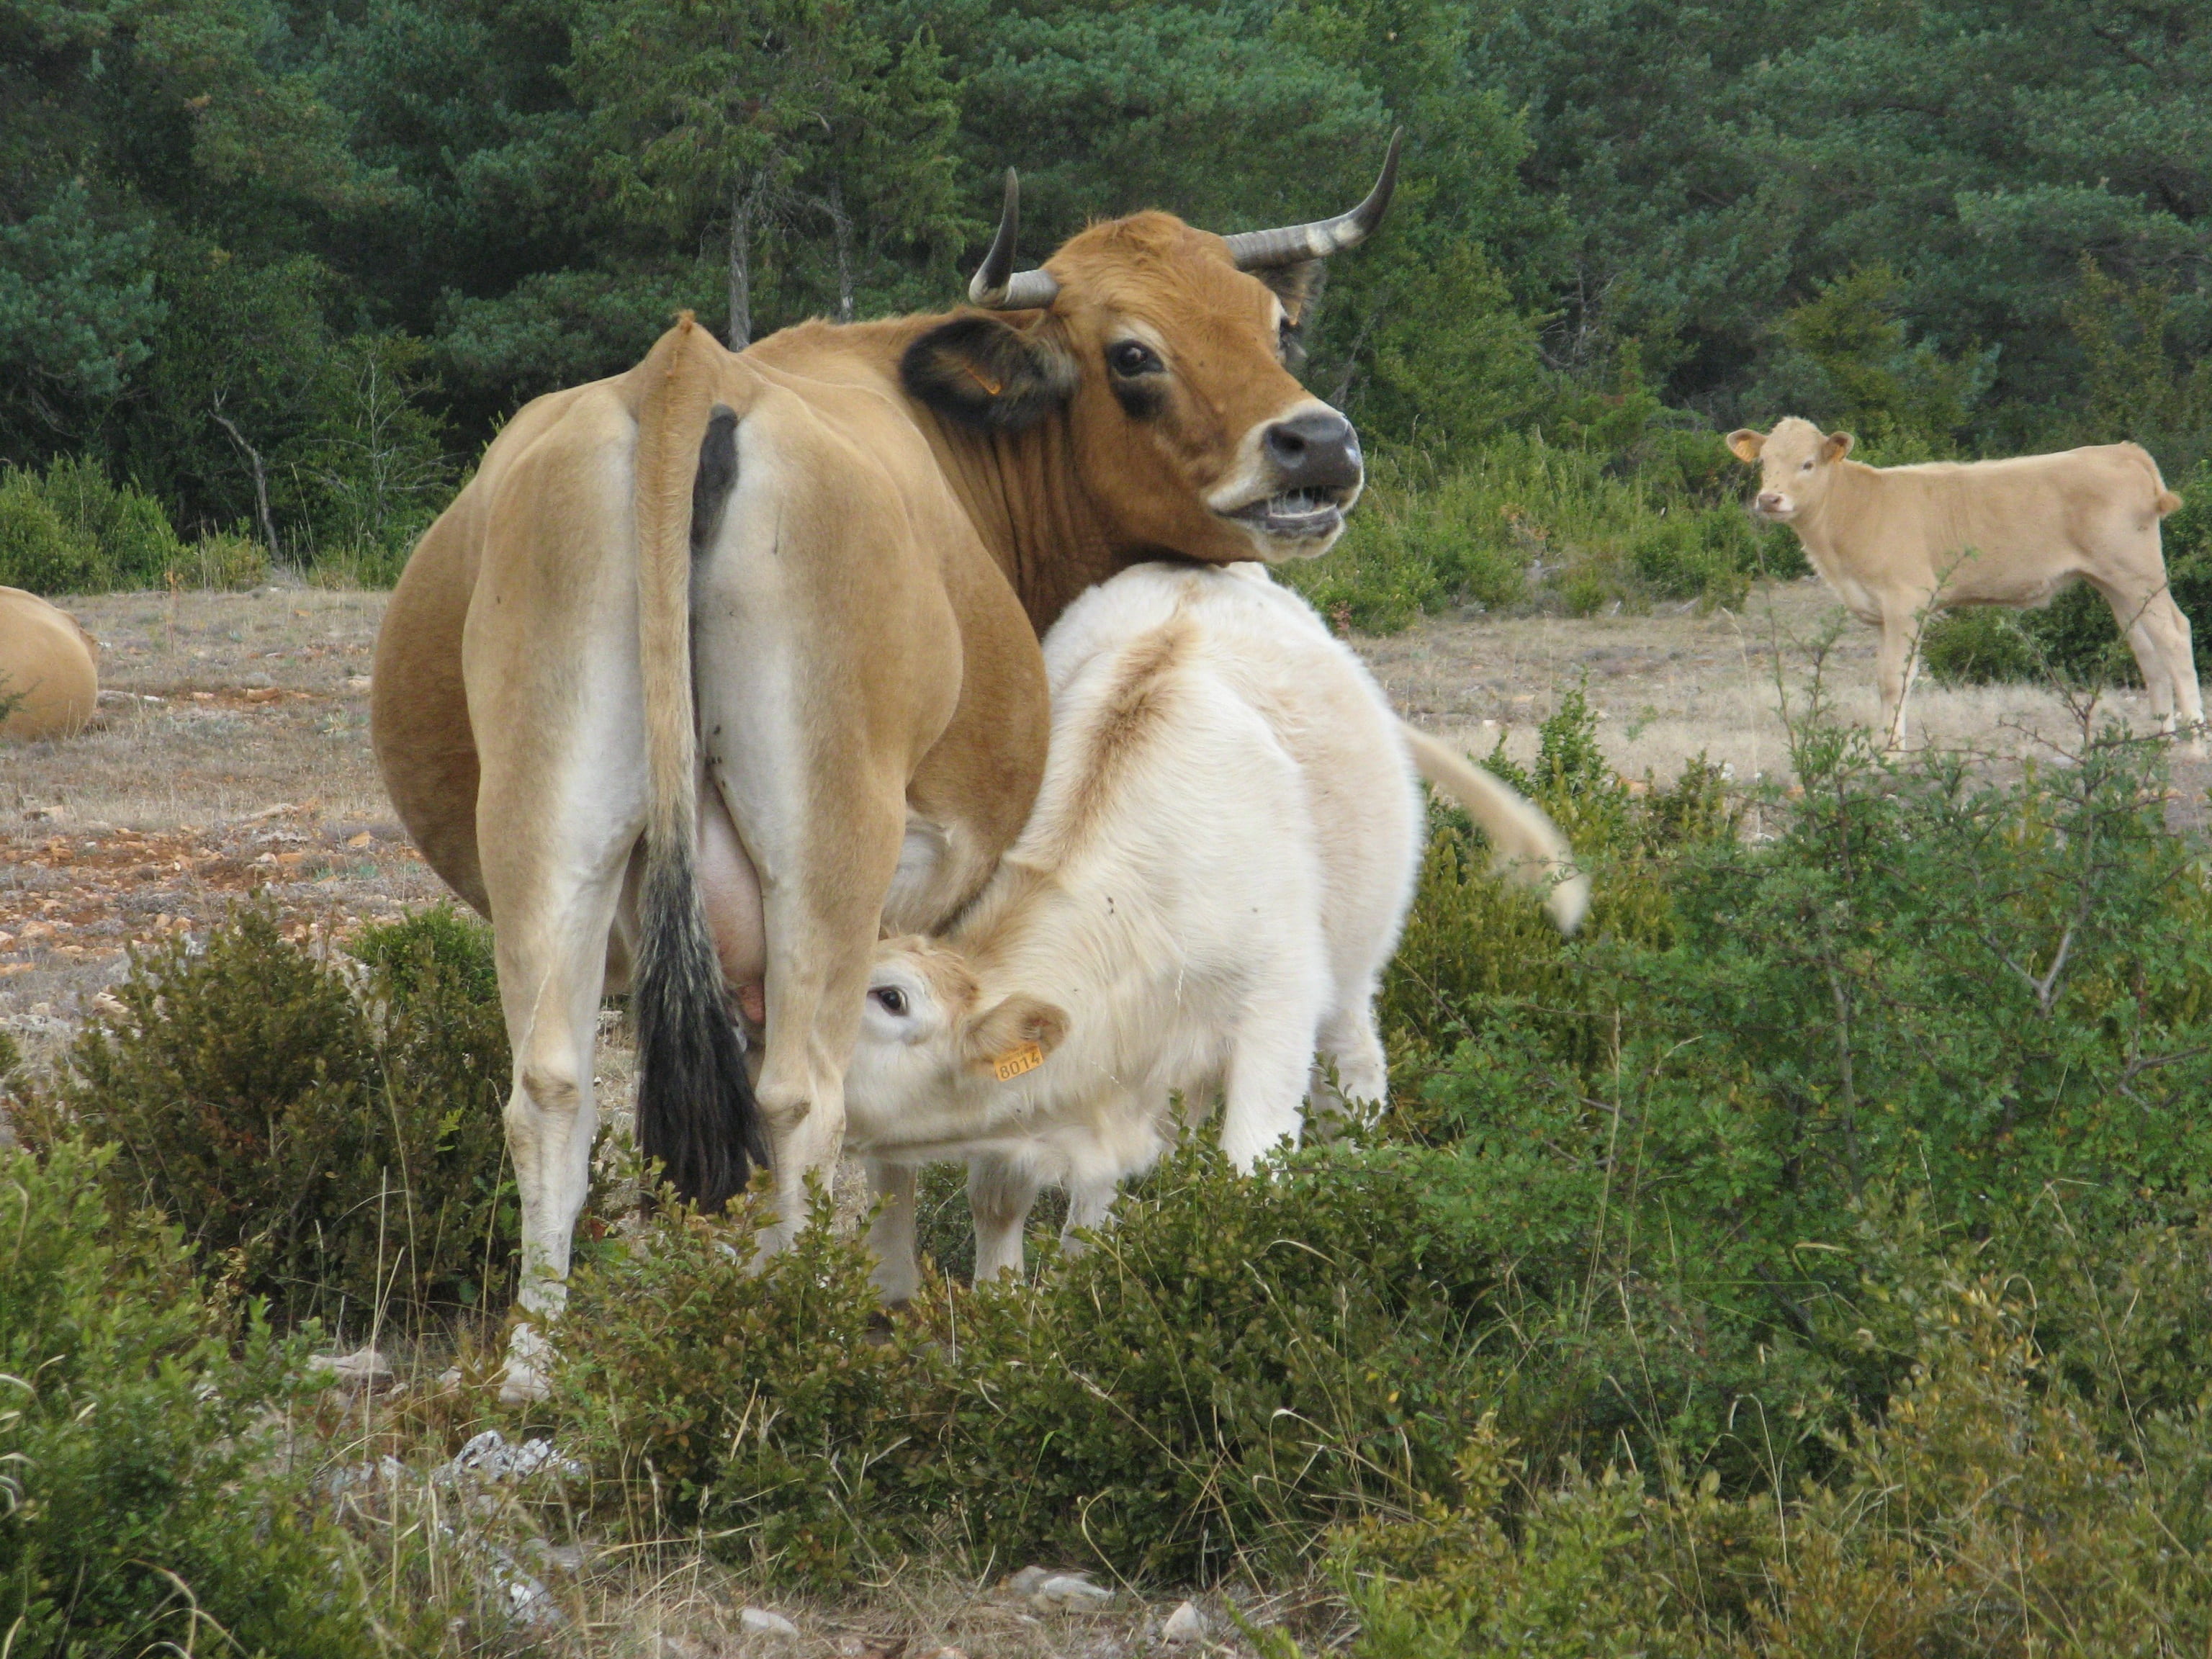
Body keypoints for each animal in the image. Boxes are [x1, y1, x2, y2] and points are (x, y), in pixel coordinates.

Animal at [371, 142, 1405, 1400]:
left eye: (1273, 326)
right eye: (1133, 353)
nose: (1320, 446)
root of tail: (684, 373)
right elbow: (941, 1136)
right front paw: (914, 1289)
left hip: (547, 841)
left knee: (551, 1093)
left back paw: (536, 1362)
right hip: (825, 848)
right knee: (800, 1100)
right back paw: (794, 1329)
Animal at [844, 560, 1587, 1301]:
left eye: (891, 998)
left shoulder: (1274, 1017)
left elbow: (1251, 1185)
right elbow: (1005, 1198)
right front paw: (1012, 1302)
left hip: (1351, 970)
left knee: (1354, 1079)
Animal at [1727, 417, 2202, 753]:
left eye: (1808, 464)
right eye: (1765, 465)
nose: (1770, 499)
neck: (1856, 510)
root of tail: (2122, 451)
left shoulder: (1906, 601)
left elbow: (1893, 678)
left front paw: (1889, 754)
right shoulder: (1883, 613)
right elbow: (1892, 676)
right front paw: (1888, 746)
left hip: (2138, 573)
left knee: (2175, 635)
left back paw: (2194, 741)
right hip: (2116, 583)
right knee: (2146, 648)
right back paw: (2158, 741)